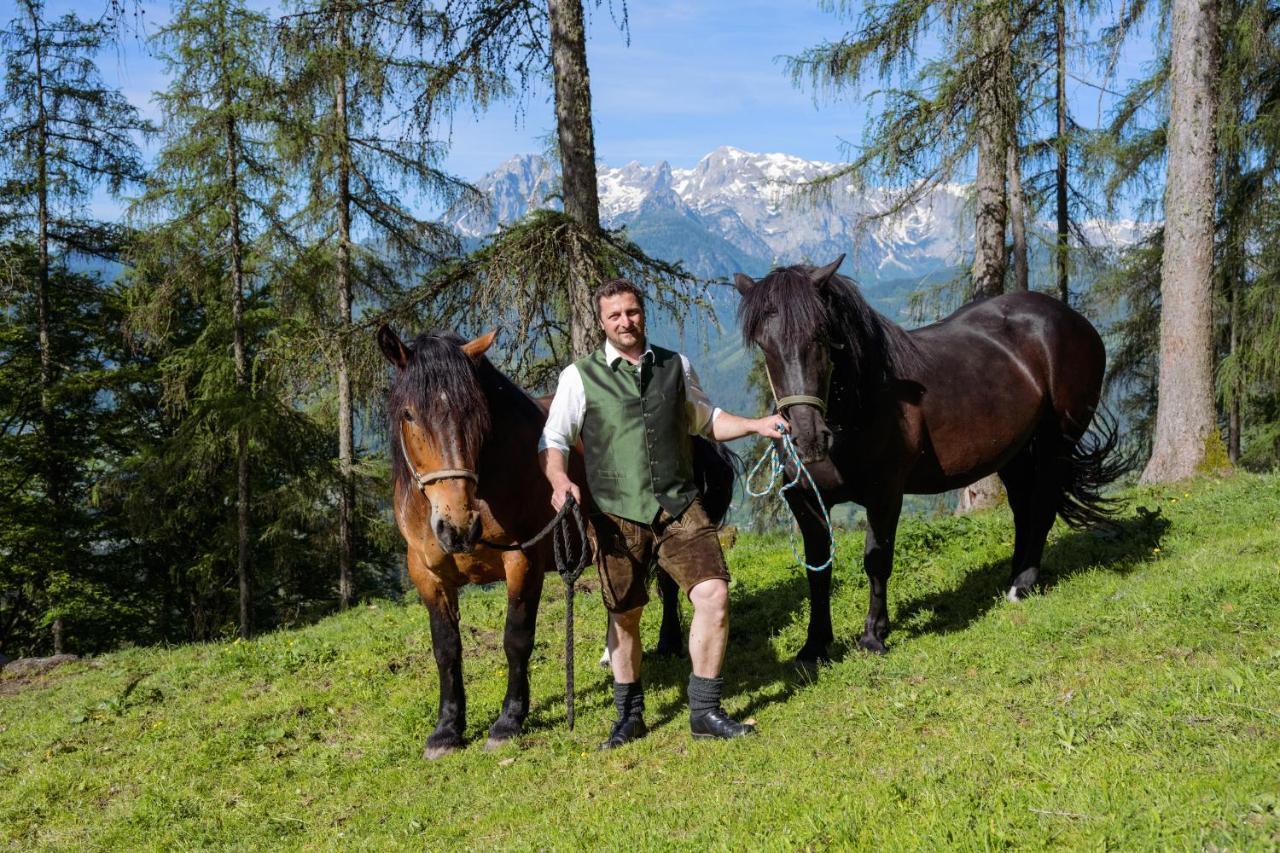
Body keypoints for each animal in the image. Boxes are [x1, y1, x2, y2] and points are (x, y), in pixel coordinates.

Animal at [376, 325, 732, 758]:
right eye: (409, 414)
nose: (457, 526)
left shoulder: (523, 562)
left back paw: (667, 642)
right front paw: (446, 730)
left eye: (475, 413)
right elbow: (445, 648)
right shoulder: (427, 573)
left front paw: (508, 721)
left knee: (667, 582)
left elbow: (516, 639)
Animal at [737, 256, 1126, 660]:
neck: (862, 405)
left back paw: (1024, 585)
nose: (808, 437)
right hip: (1014, 452)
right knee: (1022, 508)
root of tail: (1073, 320)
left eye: (821, 336)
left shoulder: (885, 495)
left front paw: (873, 636)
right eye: (764, 345)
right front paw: (814, 645)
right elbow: (817, 568)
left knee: (1042, 506)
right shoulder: (807, 501)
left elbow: (876, 560)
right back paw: (1012, 578)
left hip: (1056, 443)